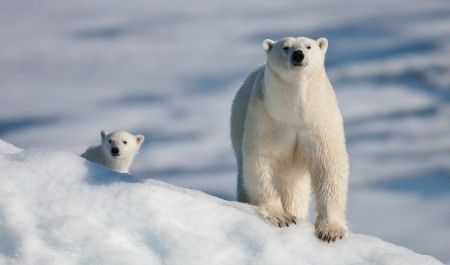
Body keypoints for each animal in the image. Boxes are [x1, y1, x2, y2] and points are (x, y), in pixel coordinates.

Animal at [230, 36, 350, 241]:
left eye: (308, 46)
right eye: (285, 47)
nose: (298, 55)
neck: (295, 113)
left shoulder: (319, 119)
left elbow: (328, 165)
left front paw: (330, 231)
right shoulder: (268, 117)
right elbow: (261, 160)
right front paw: (281, 217)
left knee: (294, 186)